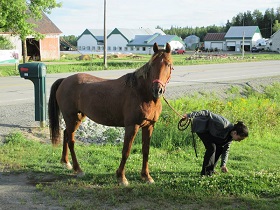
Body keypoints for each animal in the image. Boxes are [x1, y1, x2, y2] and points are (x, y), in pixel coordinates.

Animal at [49, 42, 174, 185]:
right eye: (152, 65)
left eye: (168, 64)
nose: (157, 90)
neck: (142, 93)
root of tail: (64, 80)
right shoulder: (132, 126)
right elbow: (126, 151)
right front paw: (121, 177)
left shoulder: (149, 126)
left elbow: (146, 151)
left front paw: (146, 176)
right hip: (72, 118)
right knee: (71, 140)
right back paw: (78, 169)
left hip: (77, 118)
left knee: (66, 134)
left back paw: (66, 162)